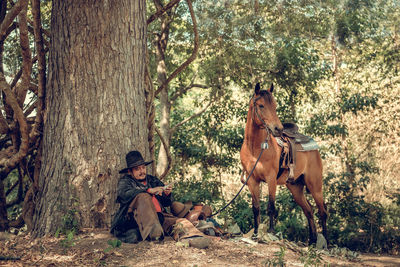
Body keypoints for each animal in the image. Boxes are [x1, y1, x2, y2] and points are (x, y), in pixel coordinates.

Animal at [239, 82, 326, 244]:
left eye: (275, 105)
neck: (255, 148)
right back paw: (312, 241)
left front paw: (271, 233)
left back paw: (326, 243)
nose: (278, 129)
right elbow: (256, 208)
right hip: (296, 188)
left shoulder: (271, 179)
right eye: (261, 105)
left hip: (315, 186)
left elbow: (271, 207)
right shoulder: (252, 180)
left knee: (322, 212)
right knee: (309, 210)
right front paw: (255, 235)